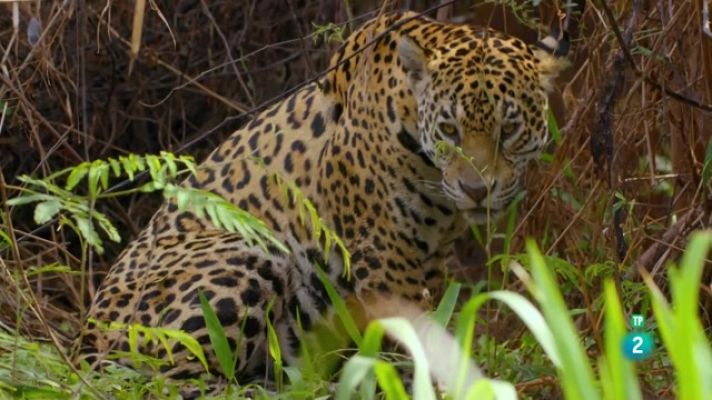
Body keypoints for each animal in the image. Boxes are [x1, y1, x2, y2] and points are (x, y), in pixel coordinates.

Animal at [77, 10, 568, 387]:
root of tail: (86, 342)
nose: (476, 190)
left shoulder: (427, 256)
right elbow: (413, 339)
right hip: (248, 249)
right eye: (450, 130)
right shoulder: (387, 256)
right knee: (166, 378)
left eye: (509, 129)